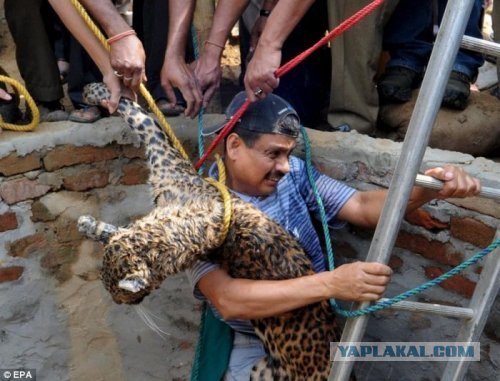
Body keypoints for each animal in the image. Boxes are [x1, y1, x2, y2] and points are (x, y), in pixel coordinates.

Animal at [78, 82, 342, 378]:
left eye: (122, 294)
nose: (120, 303)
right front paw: (89, 224)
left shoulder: (167, 161)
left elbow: (139, 116)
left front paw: (94, 91)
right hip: (262, 369)